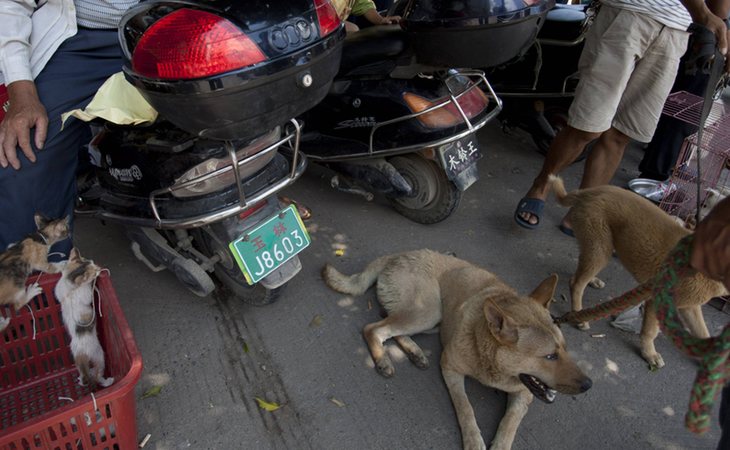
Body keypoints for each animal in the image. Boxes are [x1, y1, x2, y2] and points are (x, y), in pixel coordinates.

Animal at [54, 248, 114, 392]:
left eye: (92, 261)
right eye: (94, 271)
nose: (99, 268)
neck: (70, 287)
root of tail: (81, 355)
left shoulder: (58, 288)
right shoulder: (83, 294)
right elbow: (87, 296)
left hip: (77, 361)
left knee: (84, 376)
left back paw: (81, 380)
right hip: (98, 355)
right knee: (97, 374)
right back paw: (107, 381)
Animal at [322, 250, 588, 450]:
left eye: (564, 349)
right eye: (550, 356)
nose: (589, 385)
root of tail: (398, 254)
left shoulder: (523, 394)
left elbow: (509, 423)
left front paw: (500, 443)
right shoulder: (450, 368)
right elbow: (466, 408)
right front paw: (474, 440)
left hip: (432, 320)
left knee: (391, 328)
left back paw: (415, 352)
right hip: (428, 311)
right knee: (374, 329)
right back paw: (384, 360)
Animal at [548, 176, 724, 370]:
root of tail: (589, 192)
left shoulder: (690, 306)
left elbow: (703, 333)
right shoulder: (657, 300)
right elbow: (650, 332)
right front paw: (650, 354)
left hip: (597, 247)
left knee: (581, 273)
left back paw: (592, 281)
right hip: (600, 247)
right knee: (576, 283)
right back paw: (579, 315)